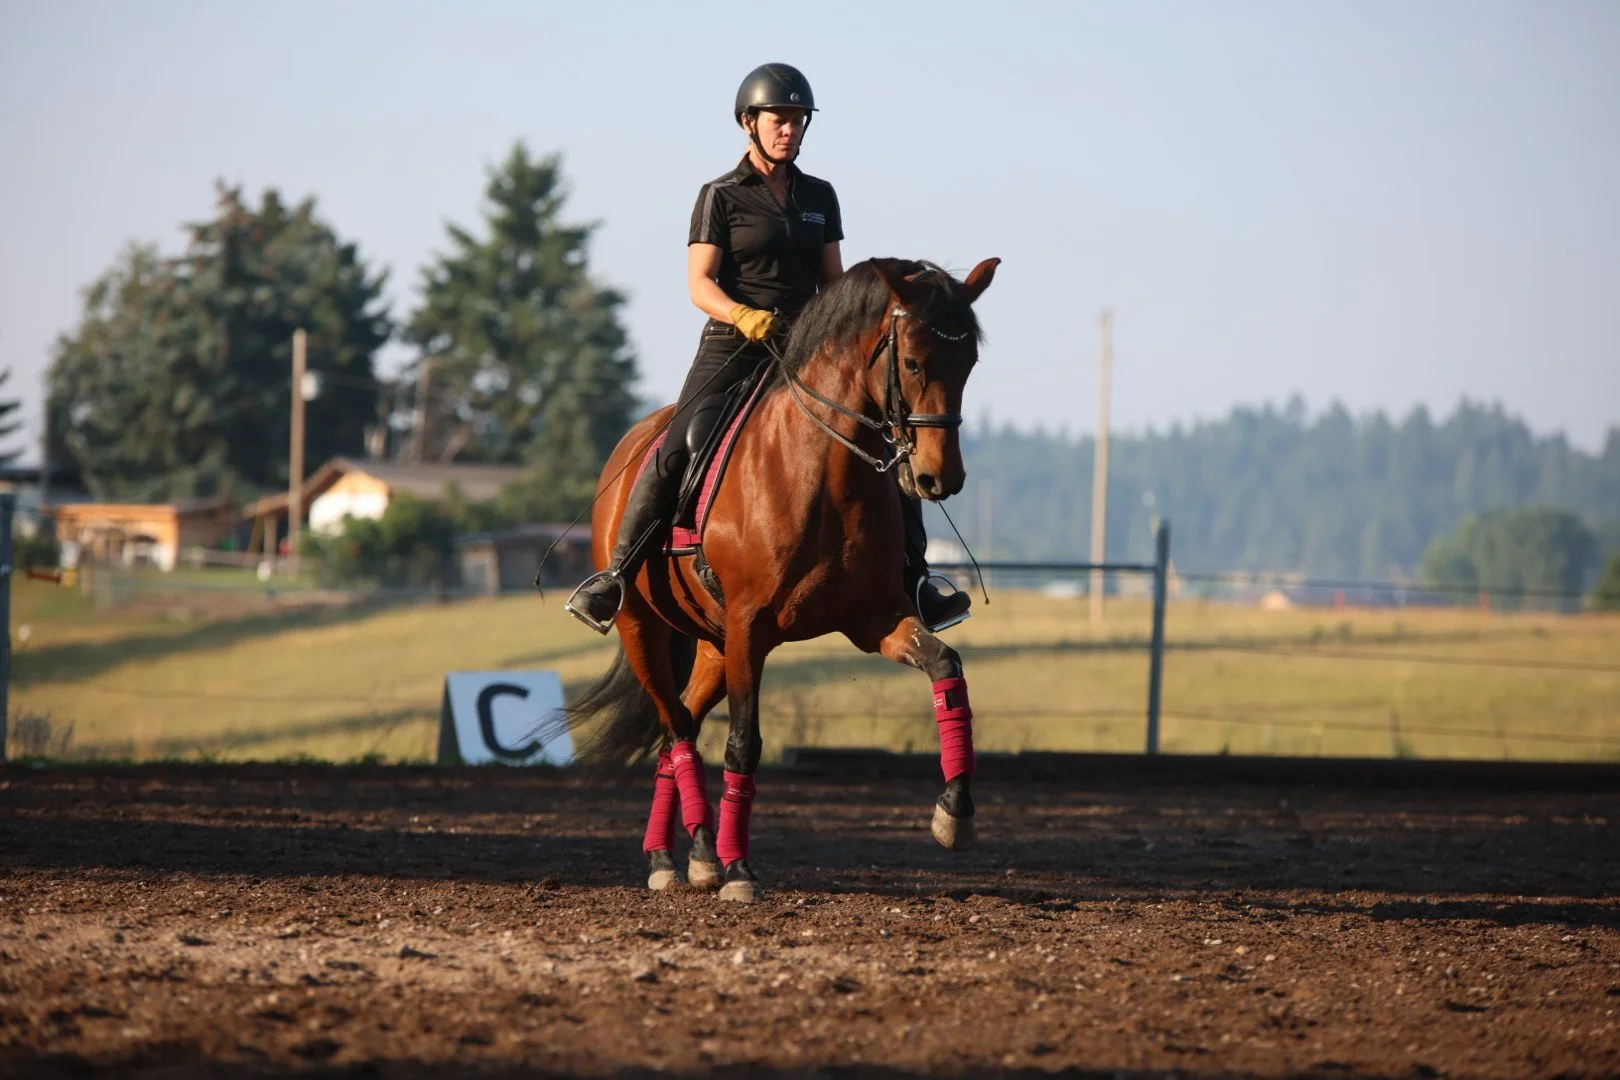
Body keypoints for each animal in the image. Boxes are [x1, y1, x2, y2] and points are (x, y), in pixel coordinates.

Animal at [565, 256, 1000, 902]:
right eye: (915, 362)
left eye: (968, 361)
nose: (937, 478)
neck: (822, 472)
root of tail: (636, 440)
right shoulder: (752, 628)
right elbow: (744, 744)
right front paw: (740, 870)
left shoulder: (877, 620)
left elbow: (947, 670)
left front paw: (955, 815)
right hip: (643, 630)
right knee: (677, 729)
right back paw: (684, 856)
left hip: (715, 647)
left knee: (679, 729)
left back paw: (683, 856)